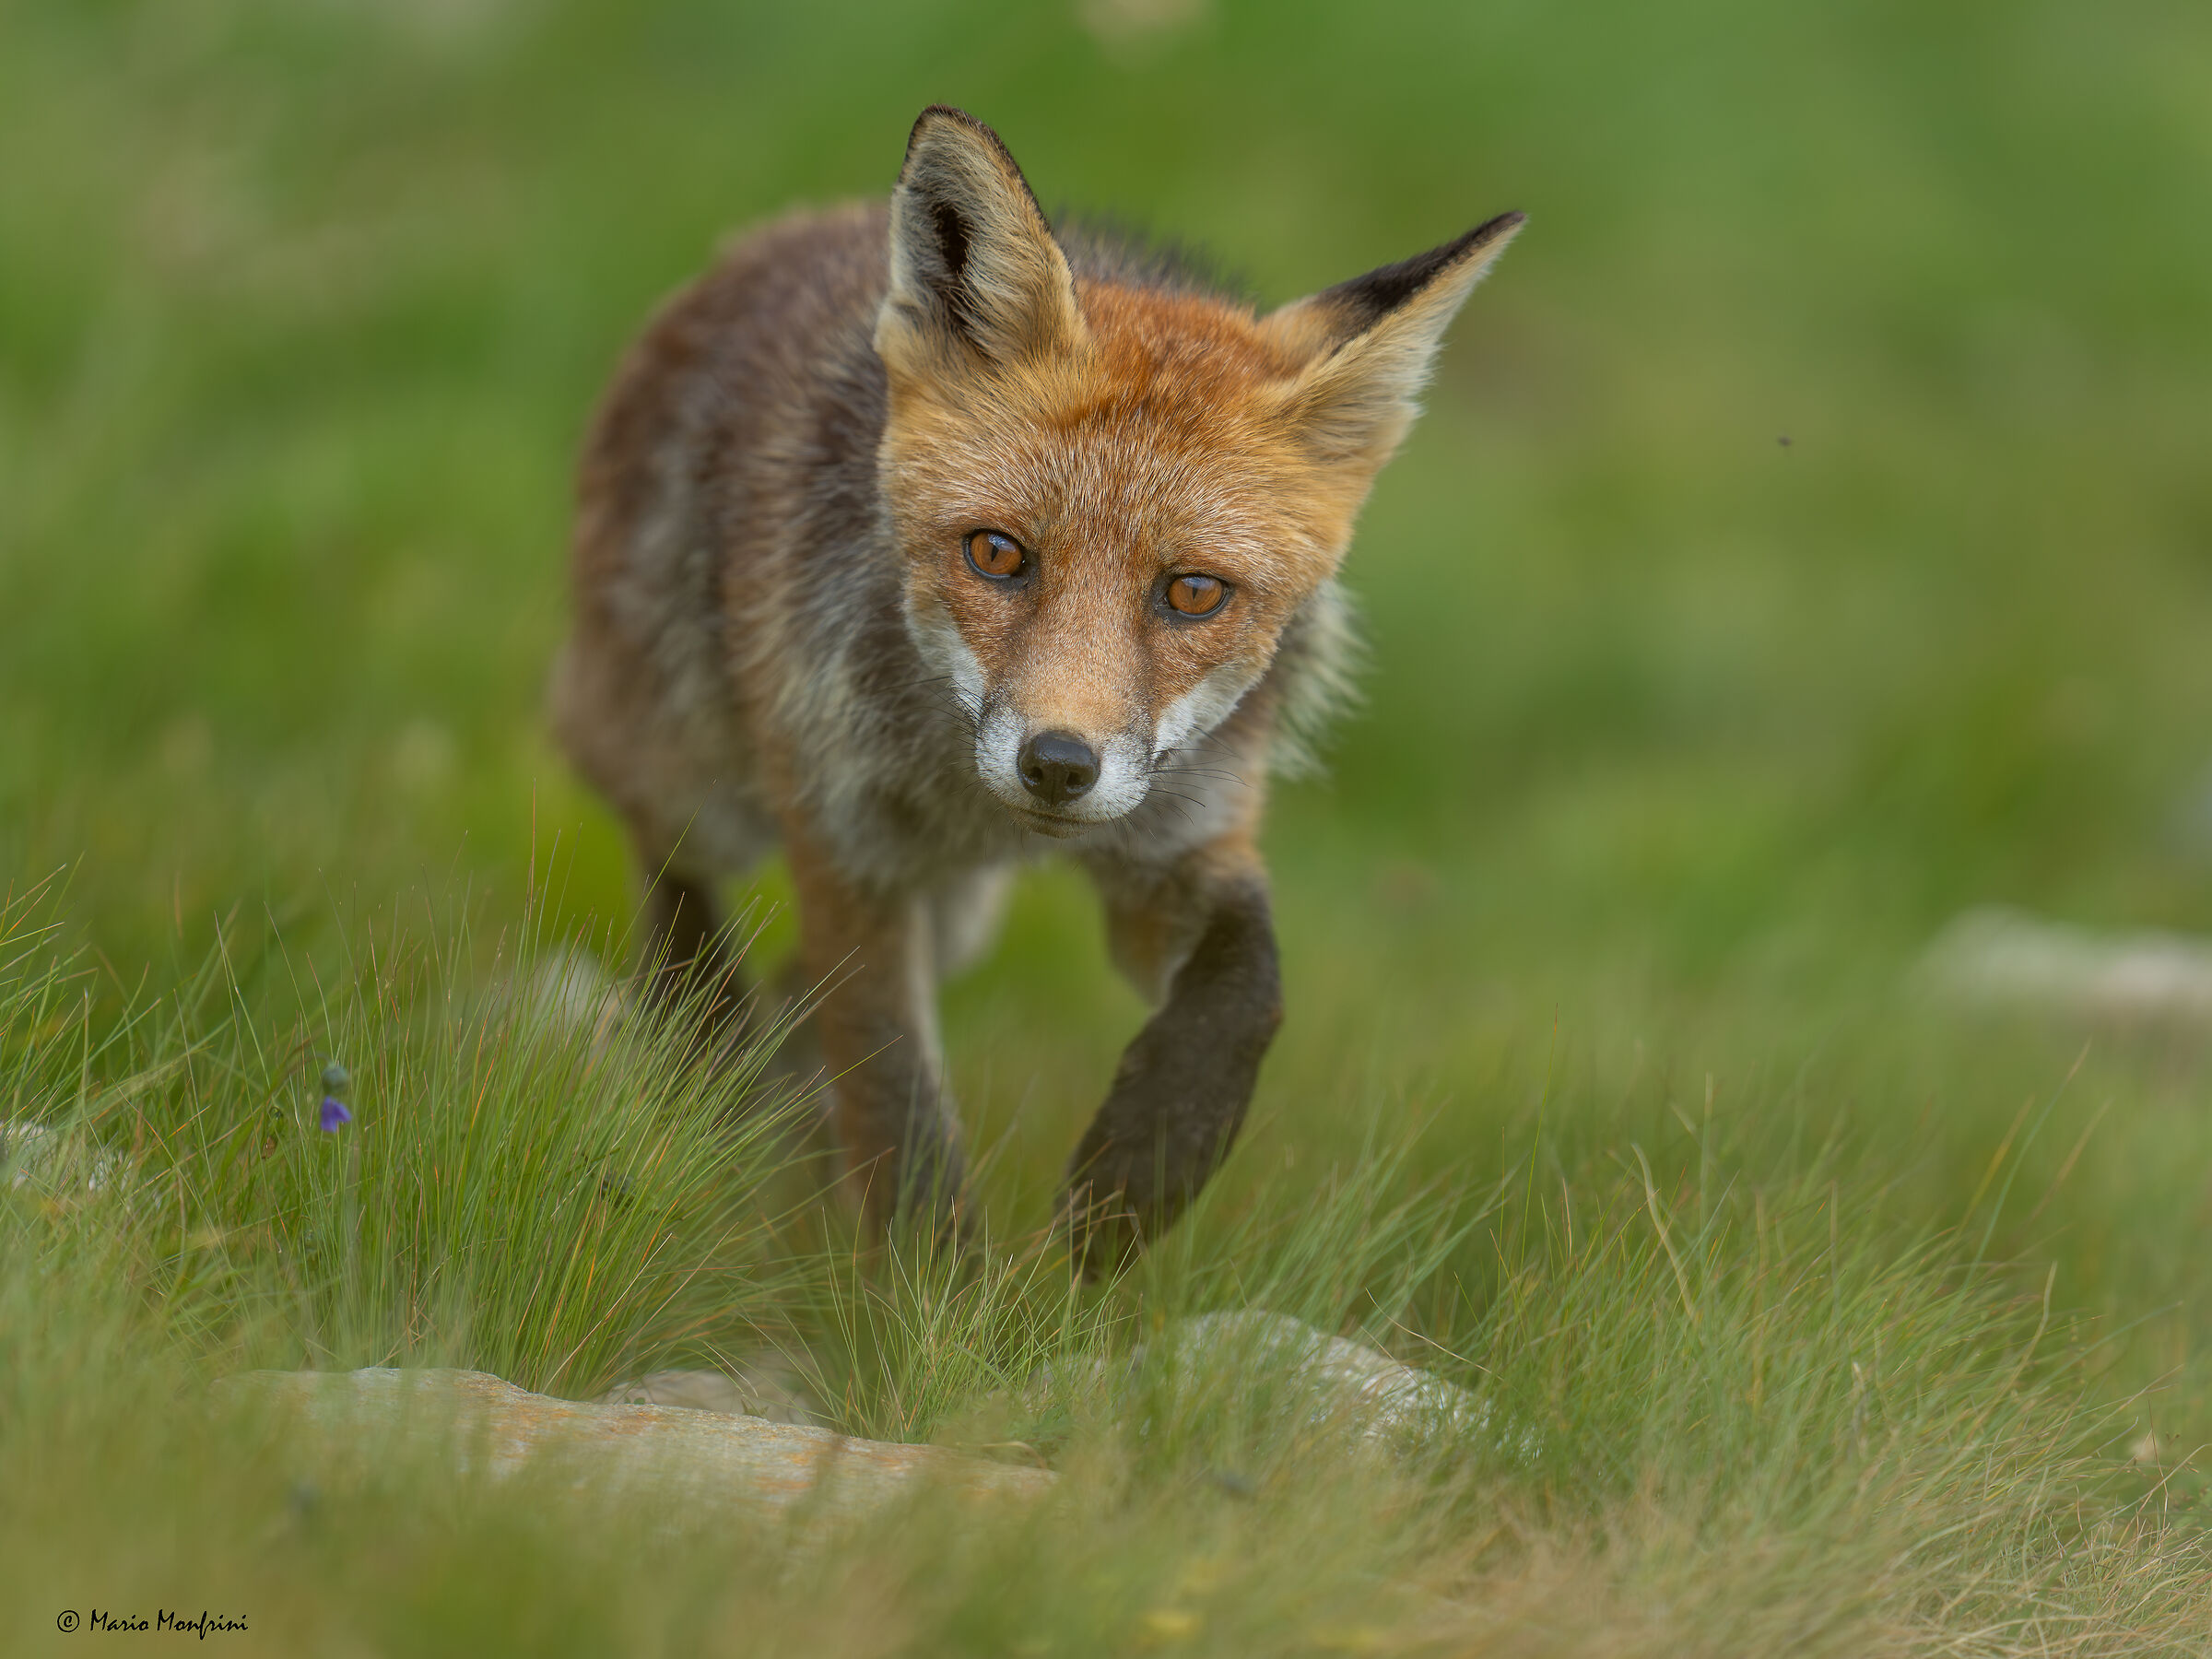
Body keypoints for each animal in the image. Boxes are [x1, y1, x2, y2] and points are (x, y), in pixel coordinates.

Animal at [551, 106, 1520, 1271]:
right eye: (998, 554)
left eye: (1194, 592)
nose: (1059, 764)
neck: (985, 814)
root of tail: (776, 235)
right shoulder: (849, 852)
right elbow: (902, 1120)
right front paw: (928, 1307)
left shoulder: (1176, 841)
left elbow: (1251, 983)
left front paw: (1143, 1173)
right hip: (697, 769)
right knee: (674, 874)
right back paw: (704, 1046)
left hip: (959, 915)